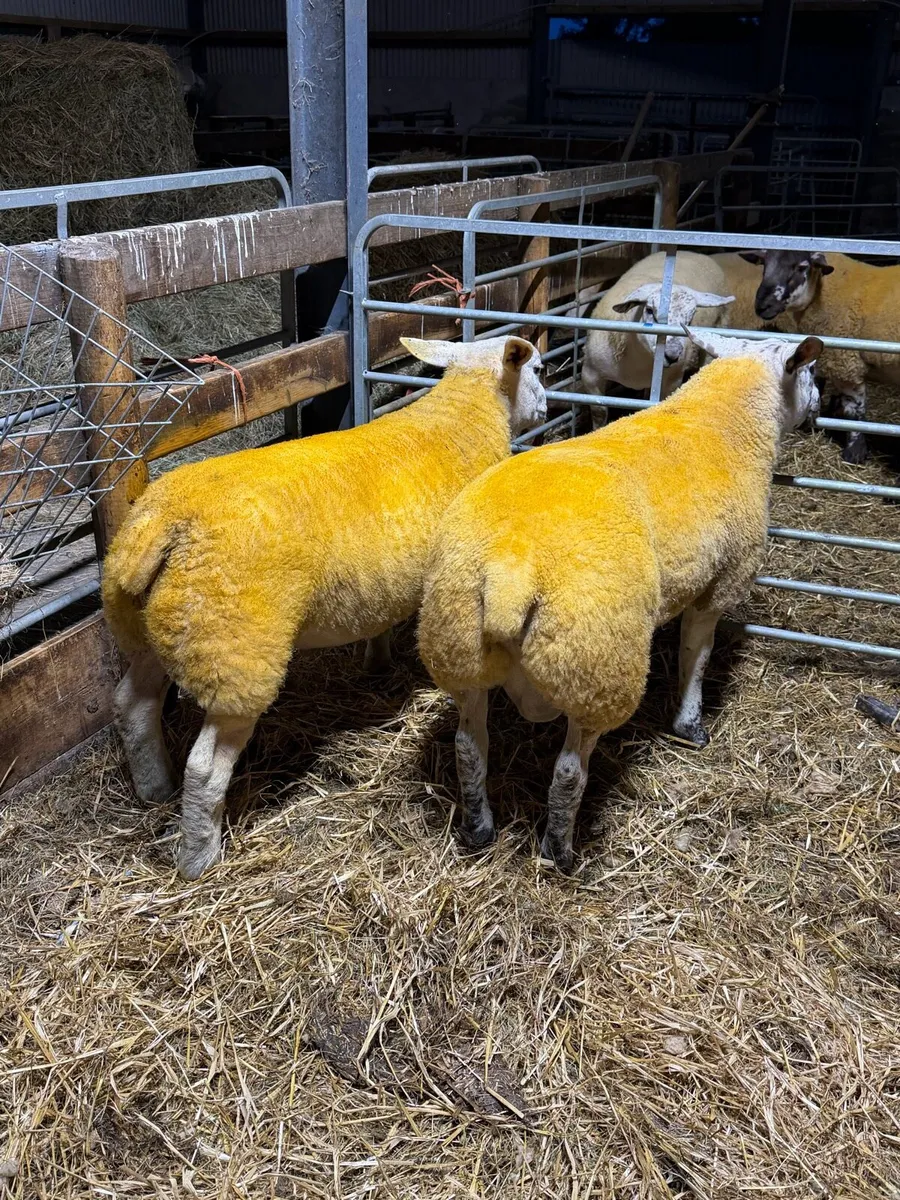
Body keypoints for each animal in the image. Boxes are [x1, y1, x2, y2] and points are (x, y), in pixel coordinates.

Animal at [102, 334, 546, 880]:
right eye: (539, 369)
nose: (547, 407)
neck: (465, 415)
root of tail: (165, 523)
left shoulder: (381, 584)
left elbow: (378, 622)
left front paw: (377, 663)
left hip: (153, 627)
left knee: (133, 706)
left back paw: (153, 789)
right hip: (235, 651)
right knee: (205, 768)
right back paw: (199, 859)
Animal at [418, 329, 823, 872]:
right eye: (809, 373)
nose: (818, 408)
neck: (726, 421)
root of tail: (509, 569)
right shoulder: (720, 583)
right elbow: (696, 657)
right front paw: (690, 724)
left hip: (457, 645)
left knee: (468, 747)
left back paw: (478, 828)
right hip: (596, 668)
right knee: (569, 771)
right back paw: (560, 851)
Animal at [579, 250, 735, 423]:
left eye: (690, 318)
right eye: (649, 310)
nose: (673, 355)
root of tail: (692, 252)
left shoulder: (673, 381)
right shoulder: (590, 374)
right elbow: (599, 412)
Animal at [737, 249, 900, 462]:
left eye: (802, 267)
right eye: (764, 263)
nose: (762, 306)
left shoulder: (847, 364)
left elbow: (854, 412)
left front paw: (854, 453)